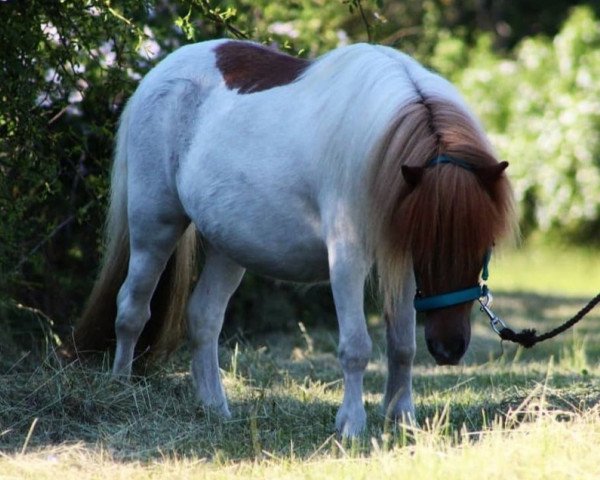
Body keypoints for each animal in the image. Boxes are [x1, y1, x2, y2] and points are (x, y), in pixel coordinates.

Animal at [74, 39, 516, 436]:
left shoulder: (400, 260)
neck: (379, 148)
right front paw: (351, 426)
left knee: (204, 317)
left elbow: (402, 345)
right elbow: (356, 347)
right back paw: (119, 390)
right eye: (430, 246)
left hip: (227, 247)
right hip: (154, 227)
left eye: (483, 247)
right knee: (132, 309)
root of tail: (155, 76)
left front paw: (402, 419)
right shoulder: (349, 260)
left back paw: (215, 409)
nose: (448, 350)